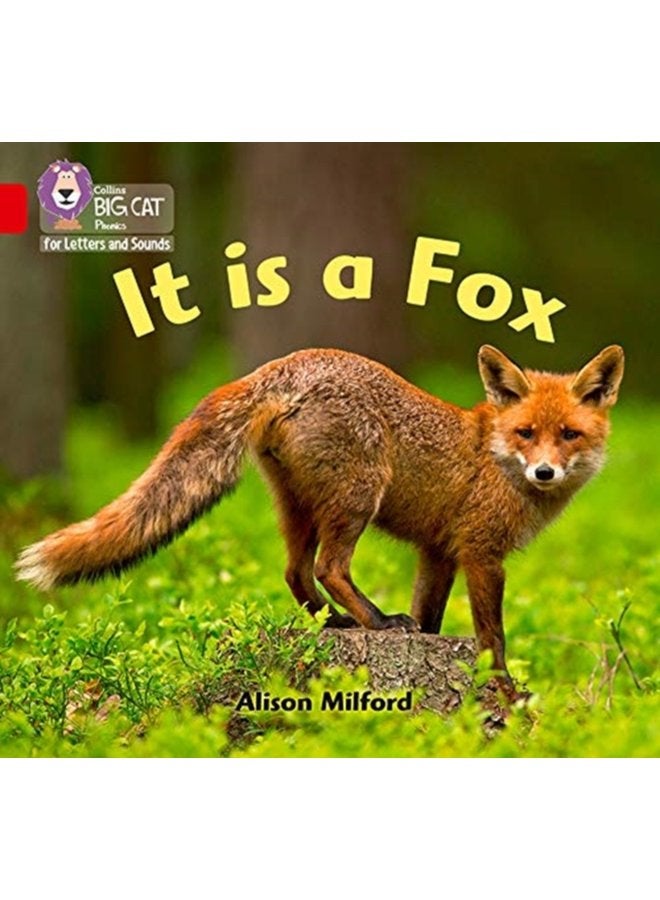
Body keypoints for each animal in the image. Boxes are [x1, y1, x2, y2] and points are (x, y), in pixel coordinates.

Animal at [15, 344, 624, 699]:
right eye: (527, 433)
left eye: (569, 434)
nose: (544, 471)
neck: (494, 457)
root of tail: (281, 364)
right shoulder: (481, 553)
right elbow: (492, 635)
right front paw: (504, 690)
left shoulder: (438, 553)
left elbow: (431, 619)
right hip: (356, 498)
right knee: (331, 567)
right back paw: (376, 622)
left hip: (299, 508)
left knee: (295, 573)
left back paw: (336, 623)